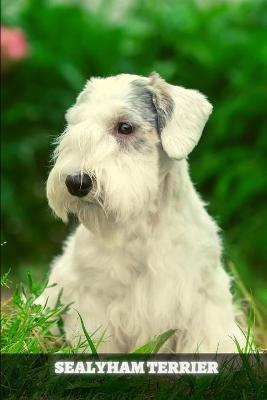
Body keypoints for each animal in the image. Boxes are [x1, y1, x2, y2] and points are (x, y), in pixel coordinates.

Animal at [40, 72, 246, 354]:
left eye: (125, 127)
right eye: (75, 124)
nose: (76, 182)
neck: (145, 225)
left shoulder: (204, 297)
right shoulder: (93, 301)